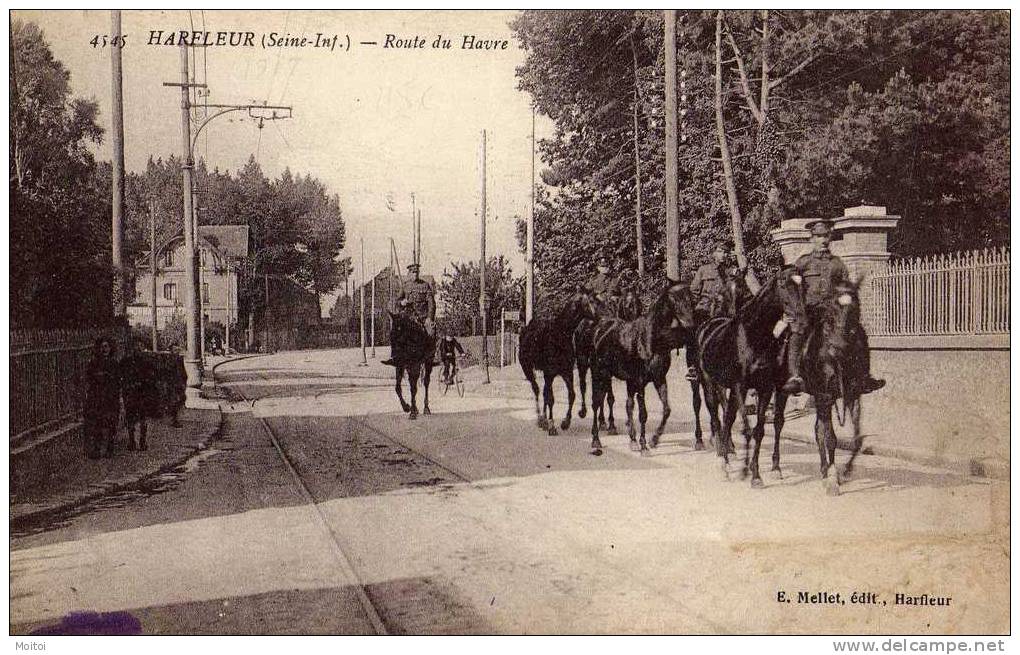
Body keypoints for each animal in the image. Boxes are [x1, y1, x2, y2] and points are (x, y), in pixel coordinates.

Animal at [518, 285, 595, 432]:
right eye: (590, 301)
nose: (599, 315)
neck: (560, 334)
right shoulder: (550, 372)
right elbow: (550, 398)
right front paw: (552, 425)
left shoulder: (566, 372)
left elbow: (571, 395)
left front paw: (565, 422)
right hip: (527, 368)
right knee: (536, 389)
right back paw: (540, 419)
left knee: (543, 391)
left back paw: (543, 419)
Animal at [587, 279, 697, 452]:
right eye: (673, 298)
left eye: (690, 296)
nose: (690, 324)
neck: (650, 340)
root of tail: (599, 329)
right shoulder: (640, 382)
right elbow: (643, 413)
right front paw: (644, 444)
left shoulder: (659, 379)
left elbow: (666, 410)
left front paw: (654, 439)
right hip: (599, 374)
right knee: (596, 403)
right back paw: (596, 440)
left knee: (625, 404)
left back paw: (631, 439)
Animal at [697, 265, 807, 485]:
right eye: (784, 284)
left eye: (803, 285)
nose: (800, 318)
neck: (755, 335)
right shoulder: (741, 386)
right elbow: (747, 428)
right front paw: (744, 470)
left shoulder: (766, 388)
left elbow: (760, 429)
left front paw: (756, 473)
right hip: (710, 384)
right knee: (716, 418)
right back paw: (723, 461)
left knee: (727, 418)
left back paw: (729, 455)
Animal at [799, 275, 864, 493]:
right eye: (830, 310)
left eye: (856, 308)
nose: (840, 347)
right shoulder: (825, 396)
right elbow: (830, 438)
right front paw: (833, 479)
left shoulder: (853, 395)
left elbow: (857, 439)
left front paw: (845, 471)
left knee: (818, 429)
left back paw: (824, 469)